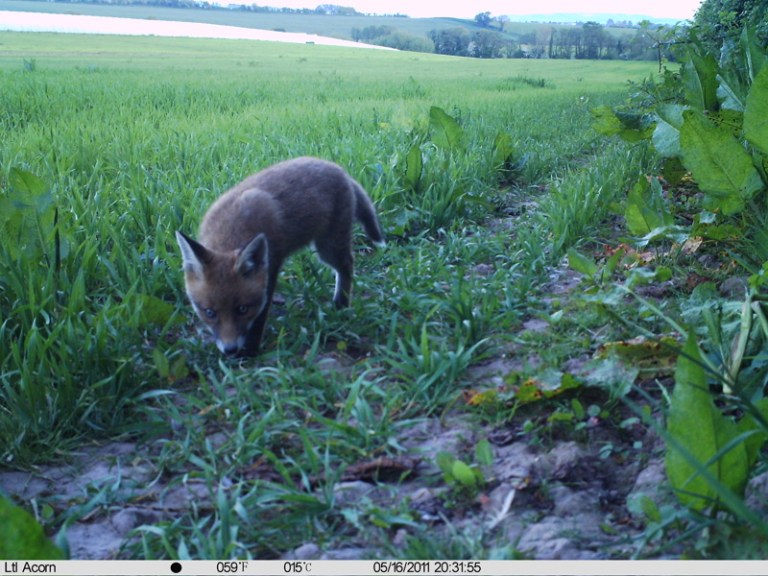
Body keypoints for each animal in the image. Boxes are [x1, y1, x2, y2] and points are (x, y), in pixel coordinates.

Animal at [176, 157, 384, 357]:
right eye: (209, 312)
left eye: (242, 309)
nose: (230, 350)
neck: (231, 232)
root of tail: (337, 168)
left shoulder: (271, 269)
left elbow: (260, 317)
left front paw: (250, 350)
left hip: (328, 247)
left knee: (347, 264)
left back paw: (341, 303)